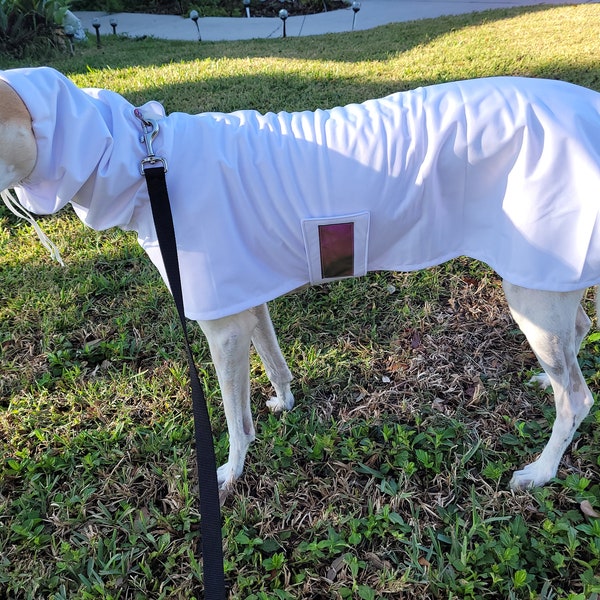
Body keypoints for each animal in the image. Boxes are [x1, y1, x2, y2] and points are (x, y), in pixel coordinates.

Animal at [1, 69, 600, 492]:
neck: (147, 159)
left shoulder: (221, 328)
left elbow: (233, 416)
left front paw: (230, 473)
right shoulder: (245, 298)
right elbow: (273, 359)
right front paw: (285, 403)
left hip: (532, 291)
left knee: (578, 398)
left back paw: (542, 469)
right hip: (548, 286)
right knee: (578, 332)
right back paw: (546, 384)